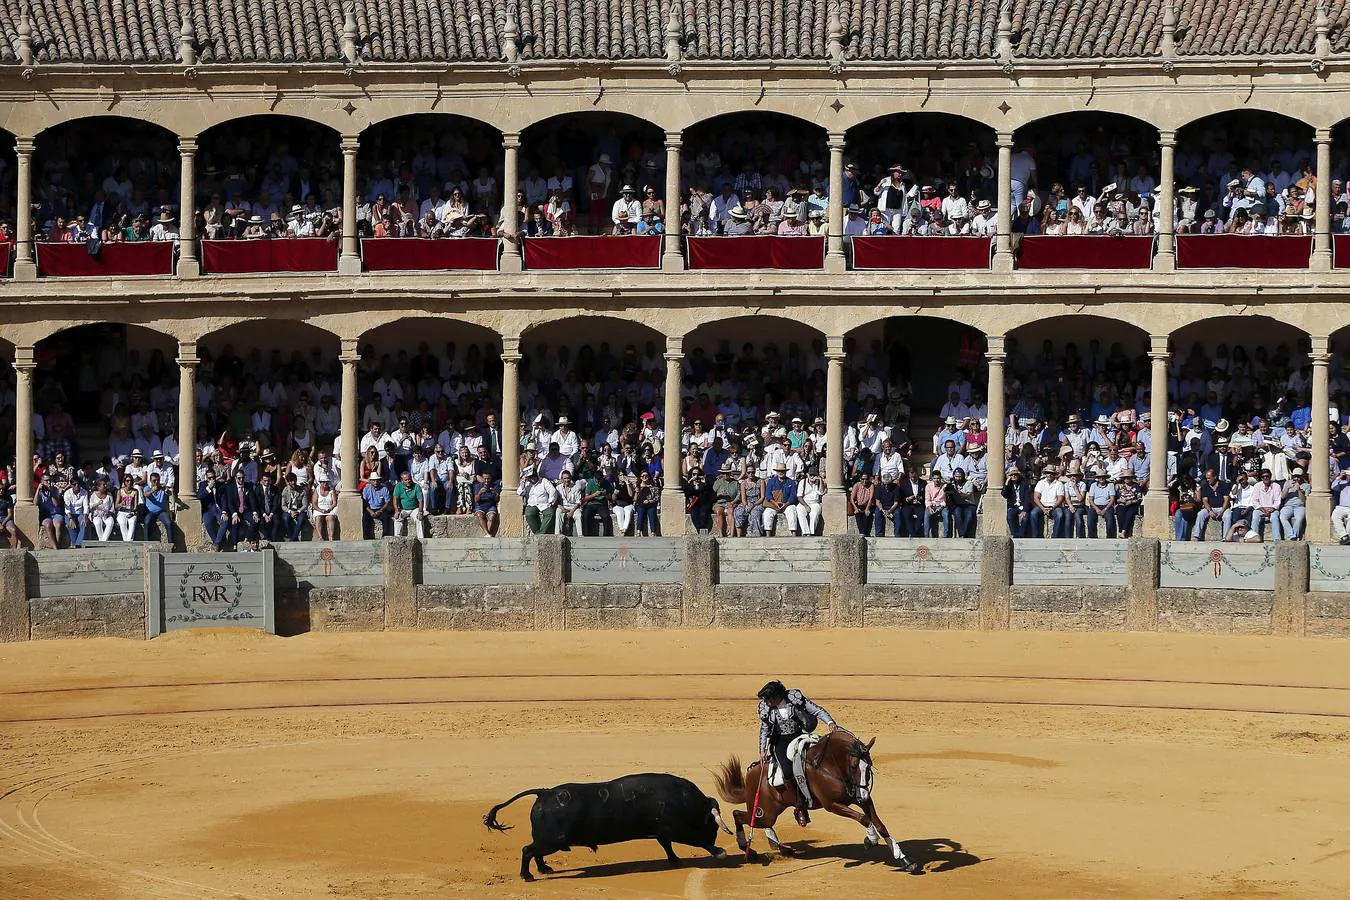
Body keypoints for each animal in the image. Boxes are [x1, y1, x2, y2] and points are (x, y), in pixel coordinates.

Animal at [486, 777, 734, 879]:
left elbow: (666, 845)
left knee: (534, 852)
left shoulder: (663, 831)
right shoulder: (678, 829)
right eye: (712, 827)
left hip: (549, 841)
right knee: (528, 851)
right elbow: (697, 841)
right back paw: (527, 875)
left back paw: (544, 869)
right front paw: (720, 852)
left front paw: (675, 860)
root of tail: (545, 792)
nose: (716, 839)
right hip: (551, 840)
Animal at [712, 734, 923, 874]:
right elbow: (864, 819)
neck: (831, 765)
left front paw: (905, 860)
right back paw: (748, 848)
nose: (863, 795)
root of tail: (753, 770)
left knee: (749, 819)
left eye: (869, 766)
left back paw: (780, 847)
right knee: (739, 815)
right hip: (765, 812)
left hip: (770, 811)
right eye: (854, 765)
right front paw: (870, 840)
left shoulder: (861, 800)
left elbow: (880, 825)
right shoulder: (832, 805)